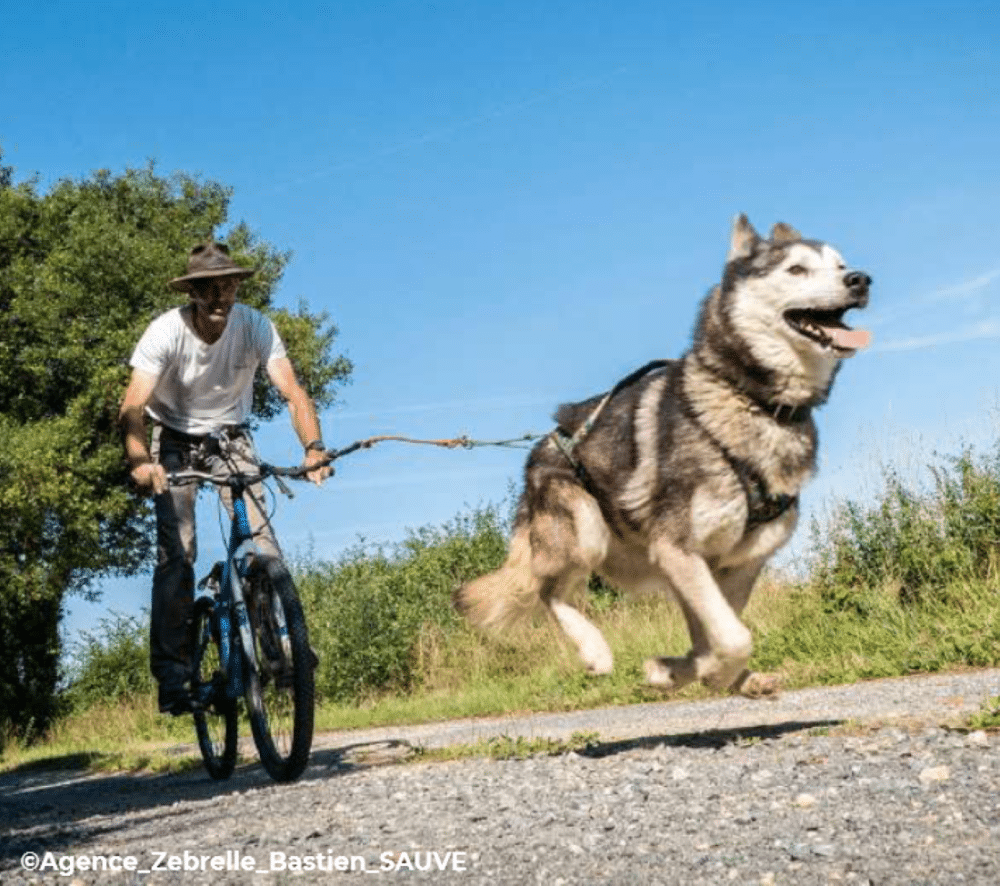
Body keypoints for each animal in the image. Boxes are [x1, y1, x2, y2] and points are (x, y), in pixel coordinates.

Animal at [458, 217, 872, 700]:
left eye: (840, 265)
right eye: (796, 269)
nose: (860, 279)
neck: (753, 402)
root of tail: (544, 442)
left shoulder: (736, 561)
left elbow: (720, 637)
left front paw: (695, 673)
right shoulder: (678, 549)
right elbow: (734, 637)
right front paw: (681, 672)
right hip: (587, 532)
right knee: (548, 592)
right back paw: (595, 650)